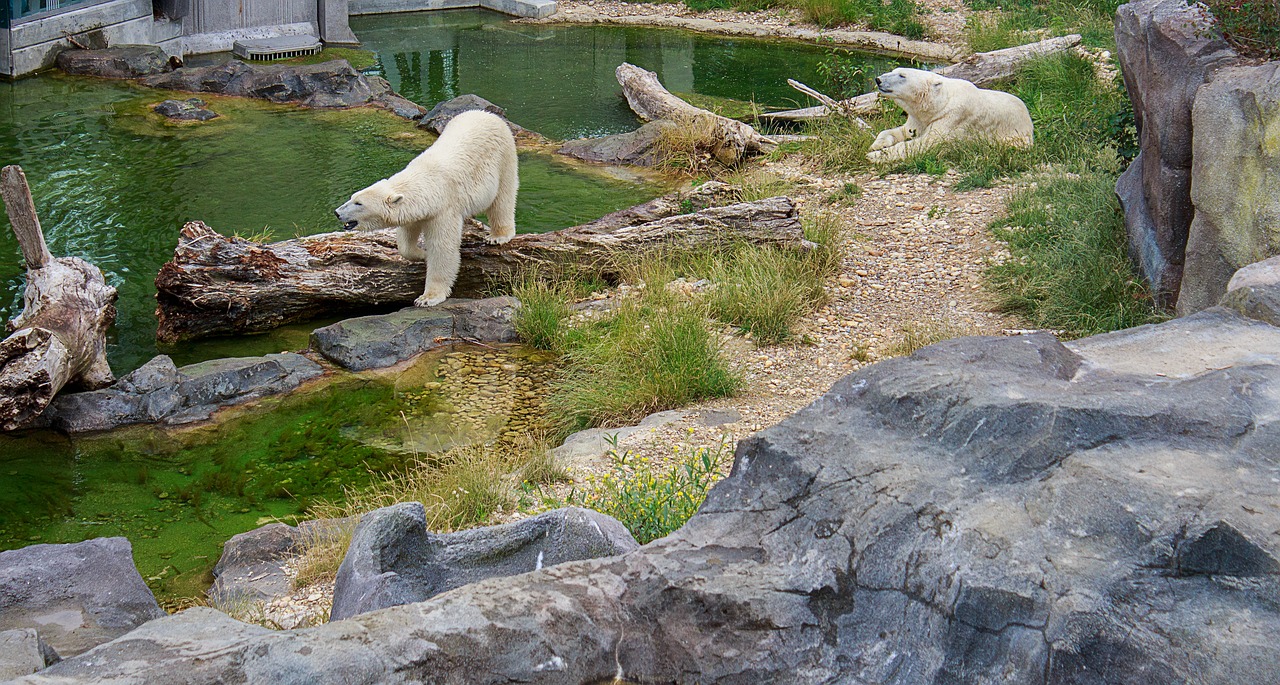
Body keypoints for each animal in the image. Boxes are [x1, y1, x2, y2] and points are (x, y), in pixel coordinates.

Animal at [337, 109, 522, 306]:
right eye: (352, 197)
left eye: (359, 203)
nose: (337, 213)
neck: (427, 181)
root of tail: (487, 113)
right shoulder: (419, 210)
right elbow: (406, 238)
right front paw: (422, 254)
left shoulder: (444, 208)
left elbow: (442, 248)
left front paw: (427, 298)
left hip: (503, 156)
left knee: (502, 198)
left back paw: (498, 236)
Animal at [865, 67, 1034, 163]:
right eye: (894, 71)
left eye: (902, 75)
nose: (878, 79)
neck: (940, 103)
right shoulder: (919, 118)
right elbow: (904, 131)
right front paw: (877, 145)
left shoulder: (952, 117)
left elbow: (926, 143)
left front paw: (874, 156)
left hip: (1013, 136)